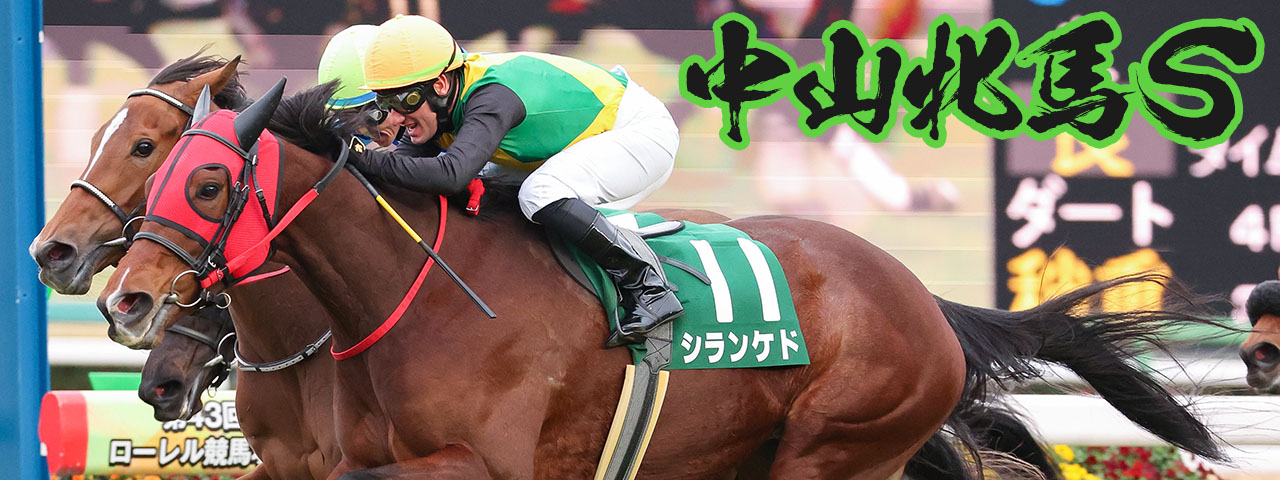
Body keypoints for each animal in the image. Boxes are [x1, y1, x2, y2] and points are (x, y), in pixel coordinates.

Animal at [95, 78, 1228, 479]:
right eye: (153, 166)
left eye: (204, 180)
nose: (124, 303)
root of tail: (922, 301)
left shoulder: (487, 468)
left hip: (834, 450)